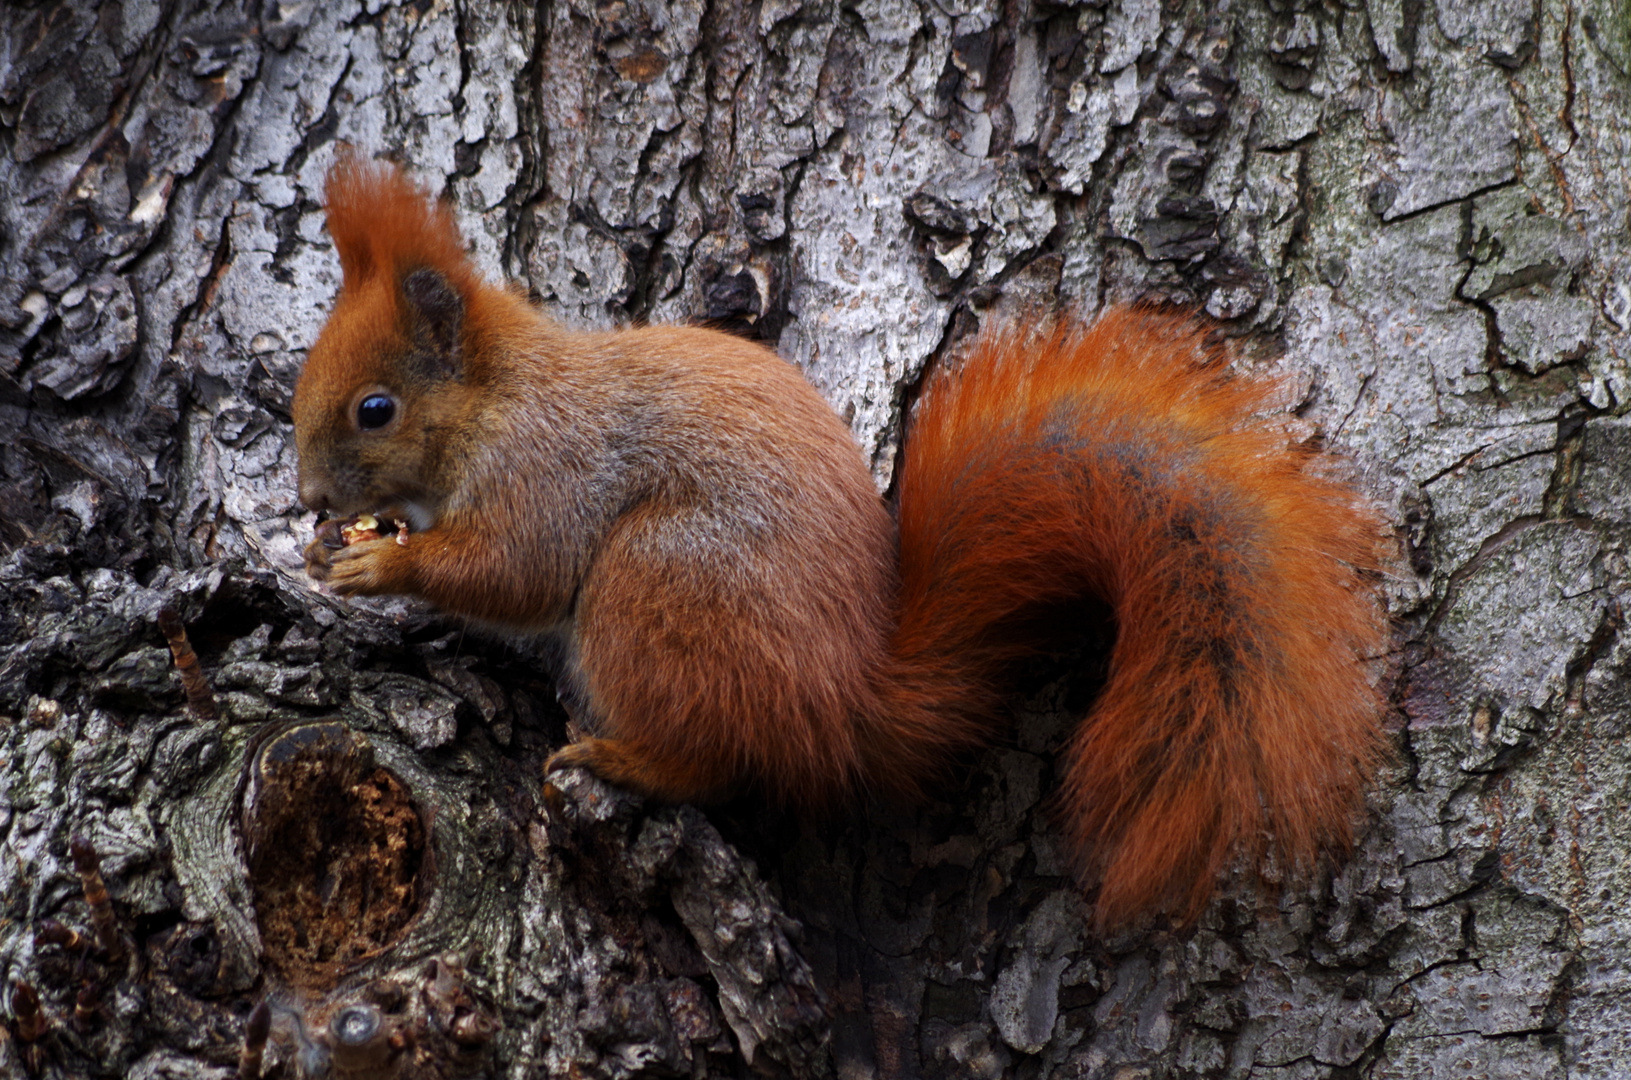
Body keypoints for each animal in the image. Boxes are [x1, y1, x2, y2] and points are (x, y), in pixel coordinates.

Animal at [293, 160, 1389, 933]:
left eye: (375, 410)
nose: (307, 498)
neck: (496, 399)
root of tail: (840, 698)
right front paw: (323, 550)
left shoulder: (547, 469)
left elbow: (514, 570)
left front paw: (381, 563)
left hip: (657, 584)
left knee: (712, 759)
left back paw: (621, 756)